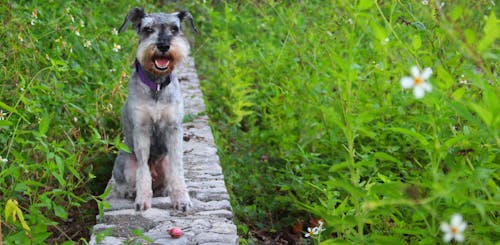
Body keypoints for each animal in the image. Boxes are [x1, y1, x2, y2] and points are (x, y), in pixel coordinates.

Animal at [111, 7, 197, 211]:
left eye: (175, 28)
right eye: (148, 29)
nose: (163, 46)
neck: (156, 84)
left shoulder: (174, 129)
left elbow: (178, 168)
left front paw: (182, 199)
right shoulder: (141, 130)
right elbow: (143, 170)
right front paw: (142, 200)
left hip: (163, 162)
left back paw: (165, 191)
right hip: (126, 161)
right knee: (123, 182)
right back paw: (130, 192)